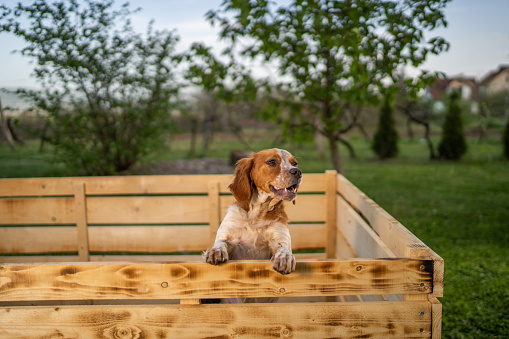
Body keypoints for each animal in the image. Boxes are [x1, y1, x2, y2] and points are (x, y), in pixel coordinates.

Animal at [202, 149, 300, 302]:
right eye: (272, 162)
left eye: (294, 163)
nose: (298, 172)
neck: (256, 217)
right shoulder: (230, 239)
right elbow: (220, 243)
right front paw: (216, 252)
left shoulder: (279, 241)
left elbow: (283, 250)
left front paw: (285, 259)